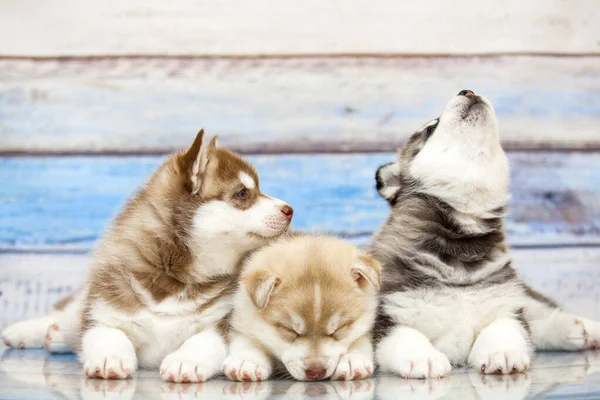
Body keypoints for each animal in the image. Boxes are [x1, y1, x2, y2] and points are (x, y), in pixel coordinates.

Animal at [2, 130, 292, 382]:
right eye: (242, 193)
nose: (290, 209)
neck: (173, 279)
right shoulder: (107, 310)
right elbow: (107, 333)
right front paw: (110, 357)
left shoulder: (220, 325)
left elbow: (203, 341)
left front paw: (185, 361)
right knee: (71, 309)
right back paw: (31, 330)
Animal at [220, 234, 380, 382]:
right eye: (289, 329)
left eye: (339, 328)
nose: (316, 371)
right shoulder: (242, 320)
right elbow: (248, 340)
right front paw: (247, 361)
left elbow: (361, 339)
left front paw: (353, 359)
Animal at [372, 90, 596, 378]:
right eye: (431, 128)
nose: (468, 91)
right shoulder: (385, 314)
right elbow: (403, 335)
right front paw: (423, 357)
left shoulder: (505, 303)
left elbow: (507, 328)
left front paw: (501, 352)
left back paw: (583, 328)